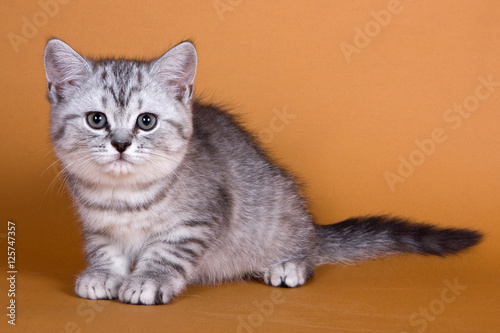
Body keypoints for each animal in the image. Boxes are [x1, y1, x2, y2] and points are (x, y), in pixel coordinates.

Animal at [45, 38, 482, 304]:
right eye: (97, 120)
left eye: (146, 122)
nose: (121, 144)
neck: (124, 196)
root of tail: (313, 228)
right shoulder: (97, 226)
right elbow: (106, 250)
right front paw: (104, 274)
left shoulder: (198, 219)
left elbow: (165, 252)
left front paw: (147, 280)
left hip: (282, 213)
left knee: (308, 252)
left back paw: (287, 265)